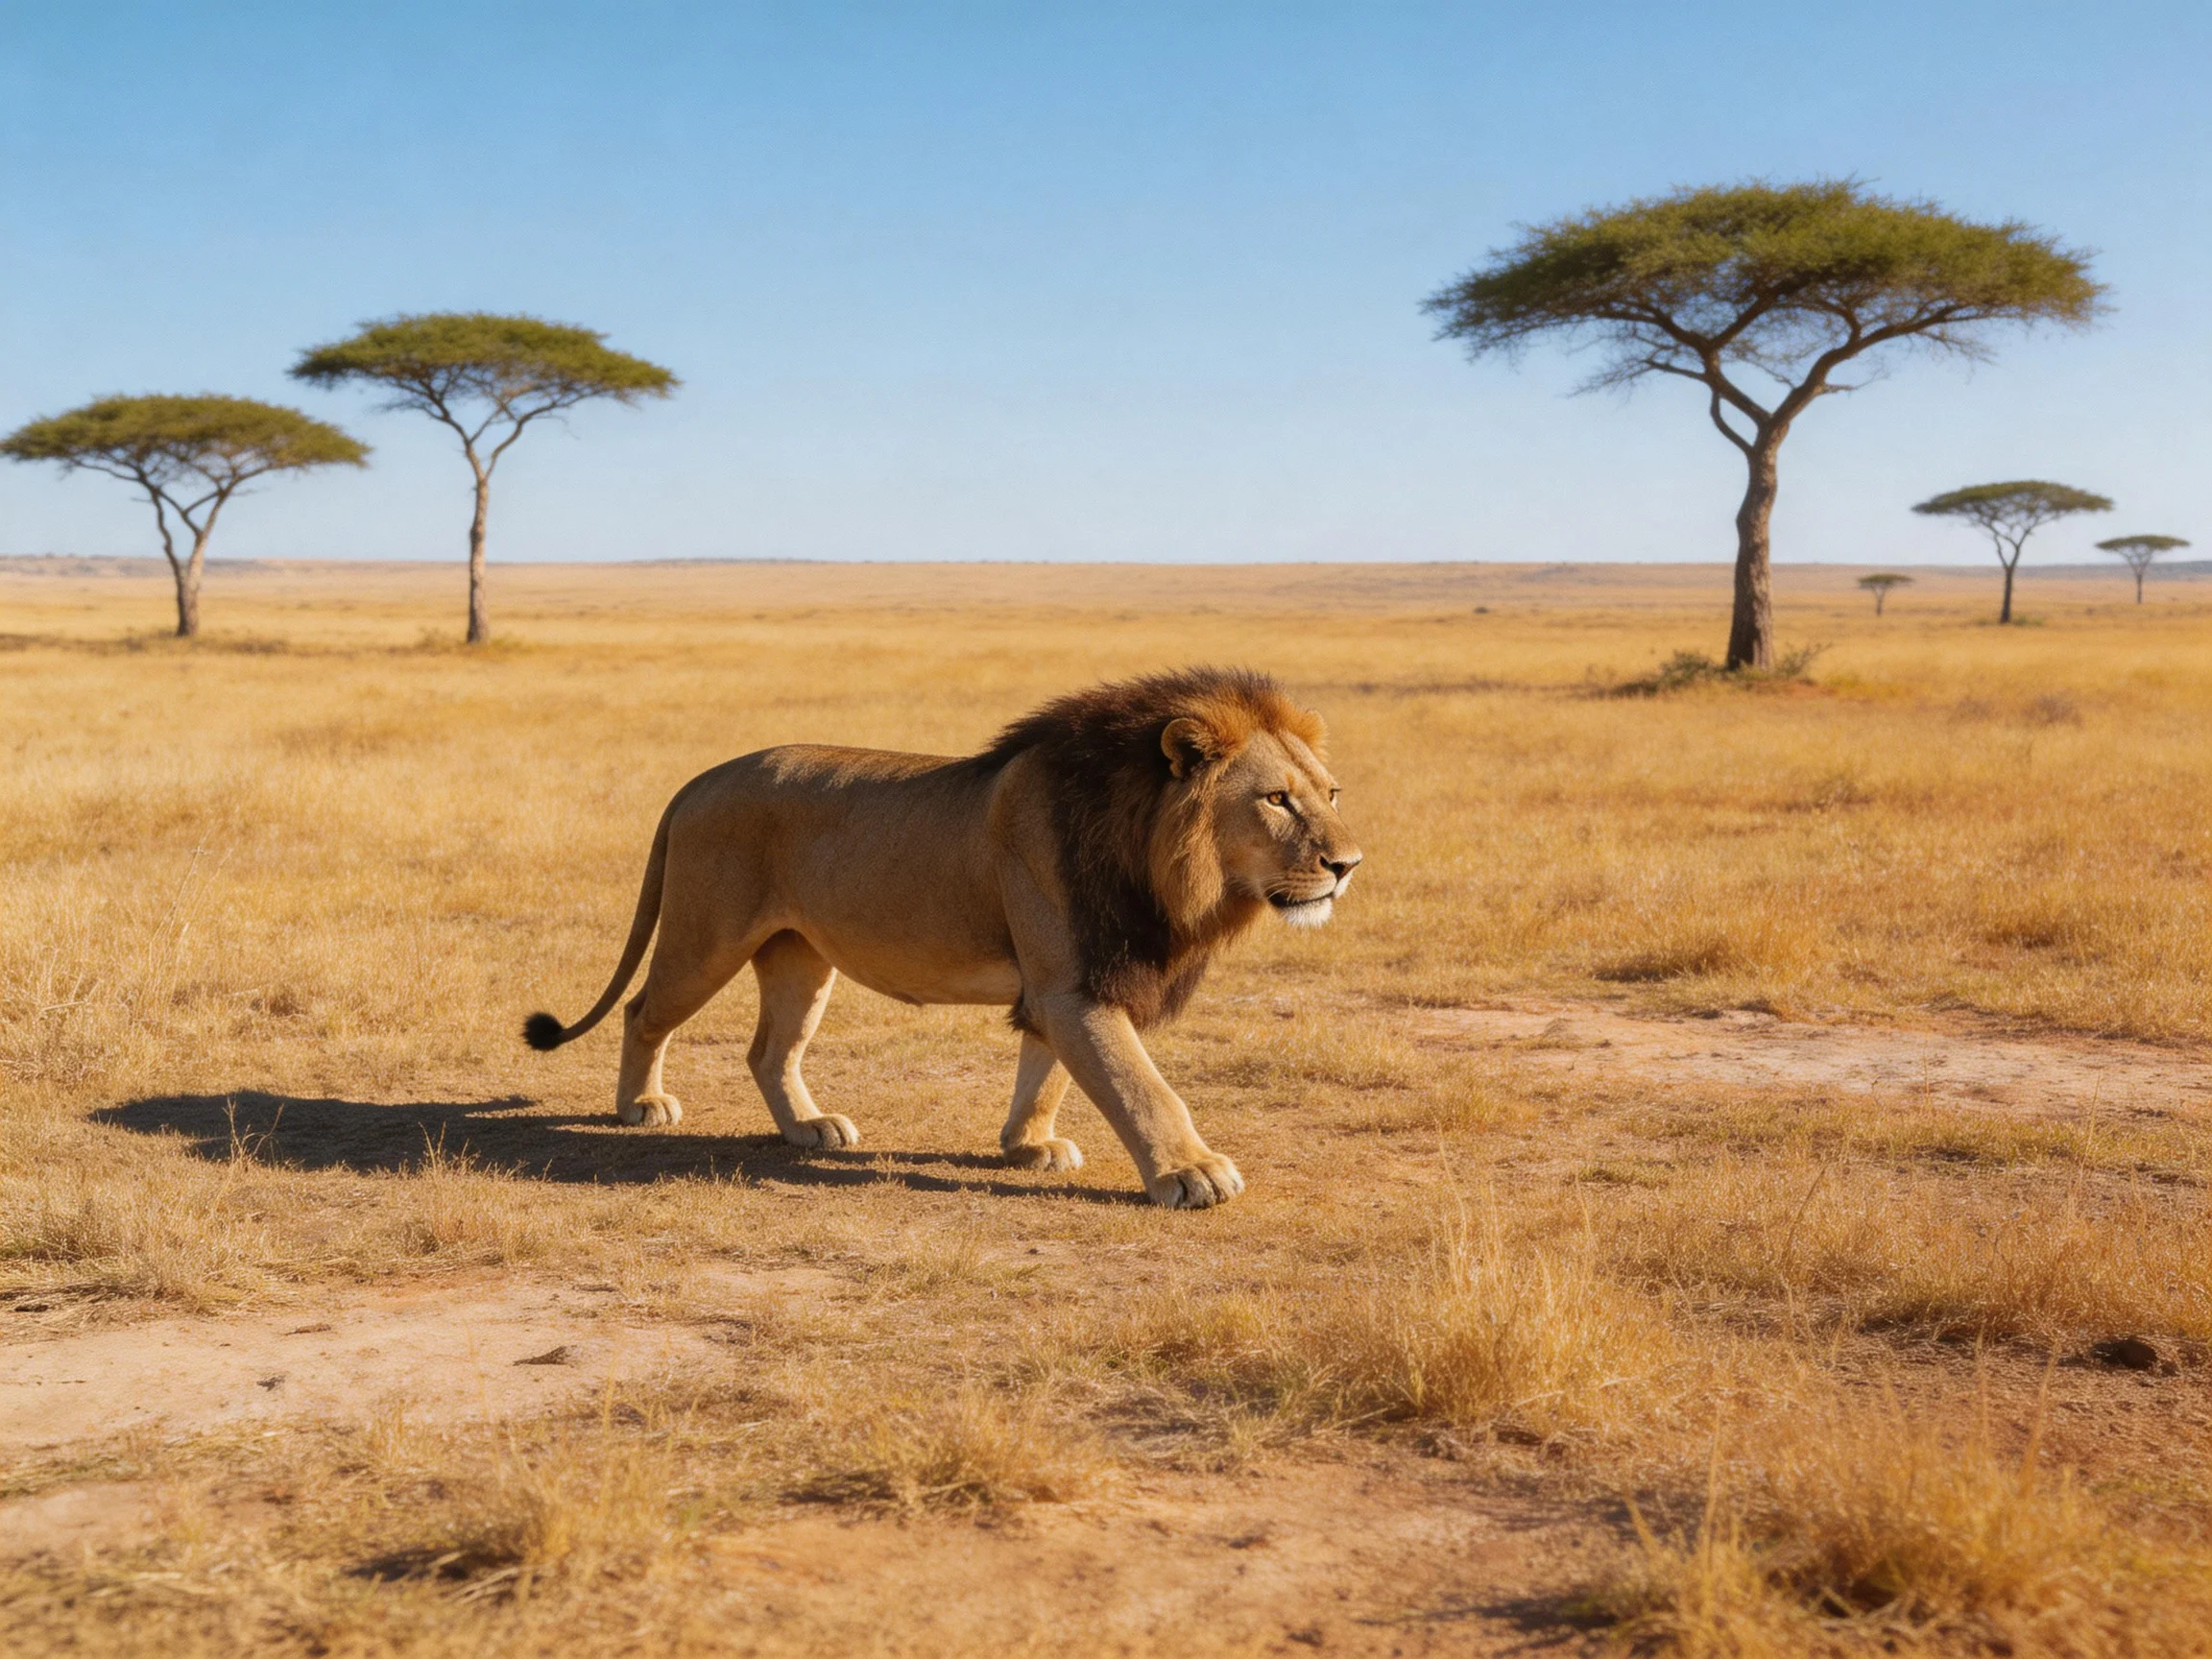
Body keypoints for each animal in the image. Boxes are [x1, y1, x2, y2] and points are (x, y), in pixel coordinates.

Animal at [522, 667, 1362, 1208]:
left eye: (1331, 792)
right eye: (1276, 800)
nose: (1348, 865)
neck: (1159, 857)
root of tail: (697, 780)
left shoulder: (1068, 983)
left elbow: (1049, 1072)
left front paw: (1028, 1147)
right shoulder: (1075, 986)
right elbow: (1139, 1084)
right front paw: (1191, 1173)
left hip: (800, 956)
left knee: (768, 1051)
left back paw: (810, 1128)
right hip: (707, 938)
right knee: (643, 1011)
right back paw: (642, 1105)